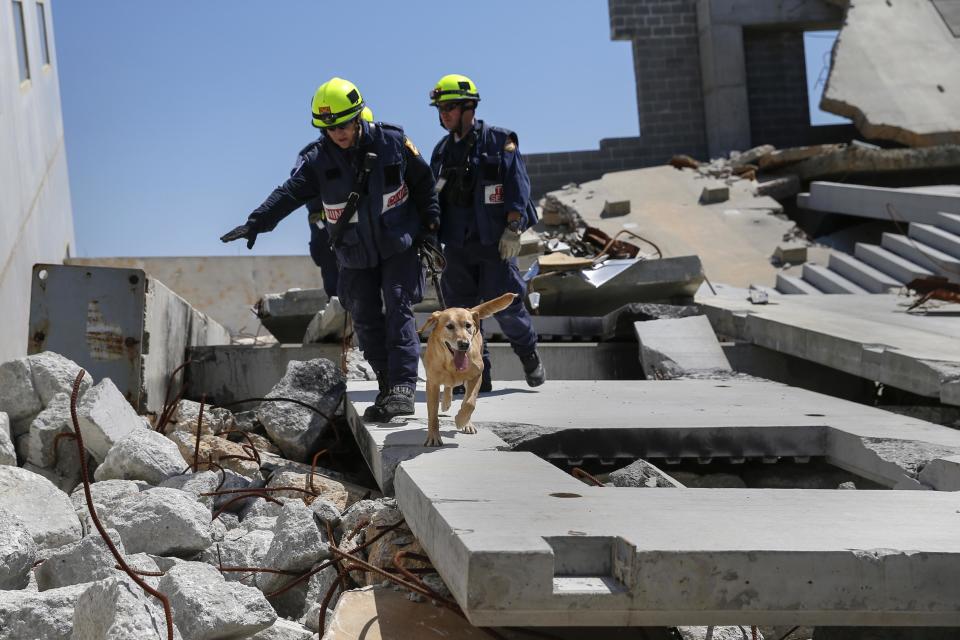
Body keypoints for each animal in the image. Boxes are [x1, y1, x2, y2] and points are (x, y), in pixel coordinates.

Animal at [416, 294, 512, 448]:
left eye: (468, 325)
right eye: (449, 326)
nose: (464, 344)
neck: (451, 363)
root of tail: (470, 309)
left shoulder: (476, 376)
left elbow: (469, 403)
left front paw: (461, 420)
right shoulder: (432, 384)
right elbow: (432, 414)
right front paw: (433, 437)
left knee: (464, 396)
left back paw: (466, 422)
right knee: (448, 386)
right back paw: (446, 402)